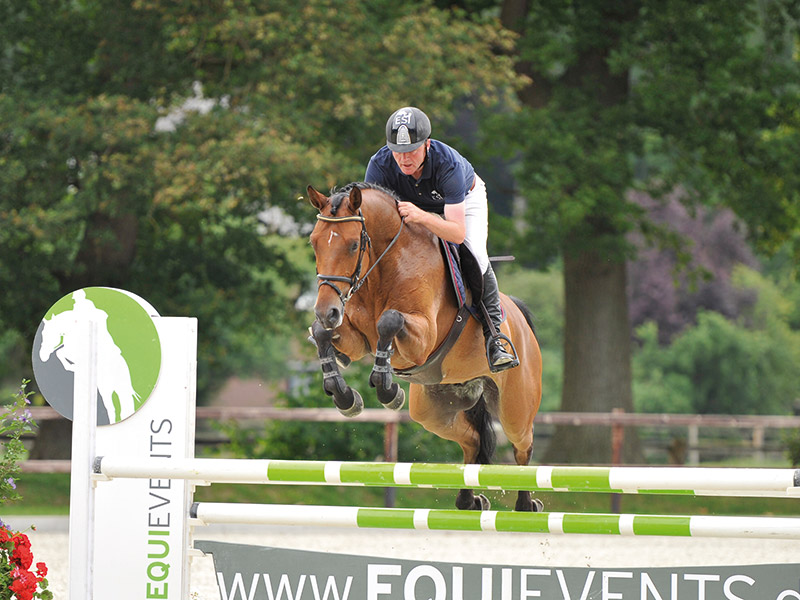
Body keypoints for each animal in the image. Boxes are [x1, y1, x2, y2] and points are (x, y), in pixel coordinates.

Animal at [306, 182, 543, 512]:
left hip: (514, 408)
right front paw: (344, 396)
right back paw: (469, 500)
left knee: (523, 446)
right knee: (472, 439)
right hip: (433, 410)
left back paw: (525, 504)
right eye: (314, 243)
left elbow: (389, 321)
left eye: (353, 245)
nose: (325, 311)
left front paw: (386, 388)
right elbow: (325, 336)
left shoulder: (423, 338)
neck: (384, 267)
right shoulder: (357, 339)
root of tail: (520, 318)